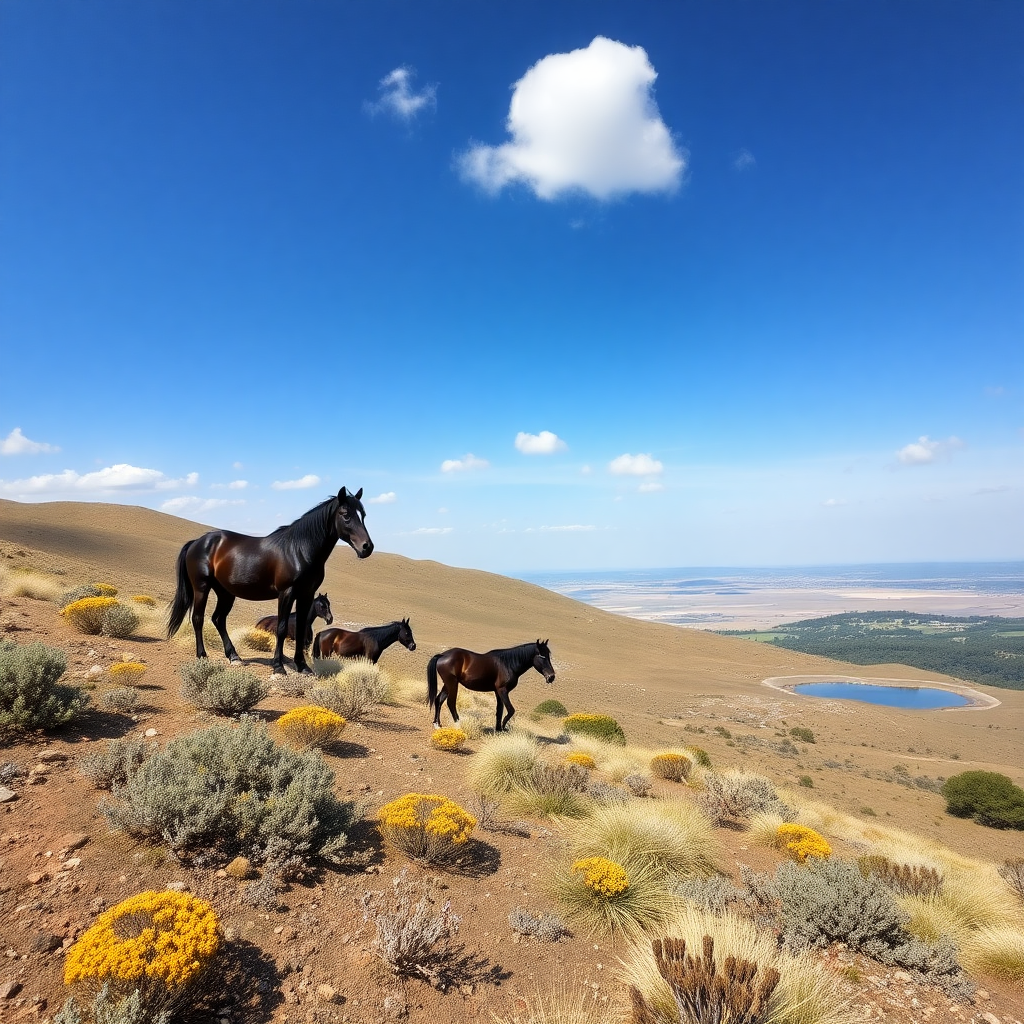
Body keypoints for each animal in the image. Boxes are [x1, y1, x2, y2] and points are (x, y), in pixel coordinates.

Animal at [165, 491, 374, 675]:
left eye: (363, 515)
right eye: (345, 515)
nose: (367, 547)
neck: (299, 550)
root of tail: (197, 542)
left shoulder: (306, 594)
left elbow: (299, 629)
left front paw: (303, 666)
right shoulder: (286, 593)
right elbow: (281, 629)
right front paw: (279, 667)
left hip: (226, 592)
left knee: (218, 619)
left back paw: (234, 656)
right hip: (202, 587)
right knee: (198, 618)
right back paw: (202, 655)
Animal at [425, 634, 557, 733]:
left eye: (548, 655)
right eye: (541, 656)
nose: (551, 677)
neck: (508, 663)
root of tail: (442, 655)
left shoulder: (498, 692)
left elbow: (499, 711)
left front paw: (498, 729)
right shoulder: (502, 690)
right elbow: (510, 710)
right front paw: (503, 727)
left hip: (448, 684)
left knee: (439, 700)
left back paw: (437, 724)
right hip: (452, 684)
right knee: (450, 703)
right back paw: (458, 724)